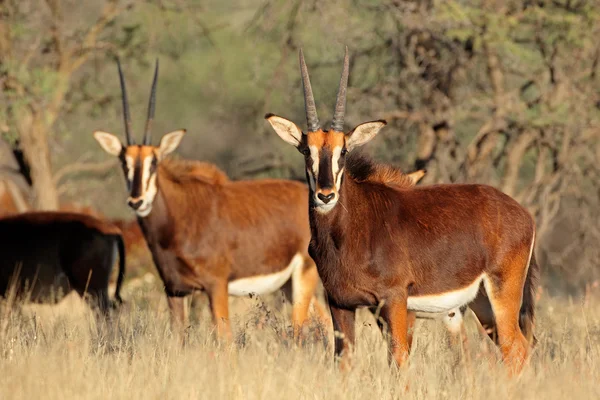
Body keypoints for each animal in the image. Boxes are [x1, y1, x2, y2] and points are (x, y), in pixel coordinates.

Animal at [93, 60, 326, 340]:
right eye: (123, 163)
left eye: (154, 162)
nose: (137, 202)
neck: (179, 217)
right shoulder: (175, 290)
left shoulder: (216, 286)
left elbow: (224, 339)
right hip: (289, 285)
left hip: (303, 276)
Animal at [268, 47, 540, 376]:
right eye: (306, 150)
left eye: (343, 150)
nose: (325, 195)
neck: (350, 230)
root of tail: (523, 214)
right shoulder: (341, 303)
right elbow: (344, 361)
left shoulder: (394, 300)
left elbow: (398, 359)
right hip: (482, 302)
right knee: (513, 348)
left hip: (502, 292)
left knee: (516, 349)